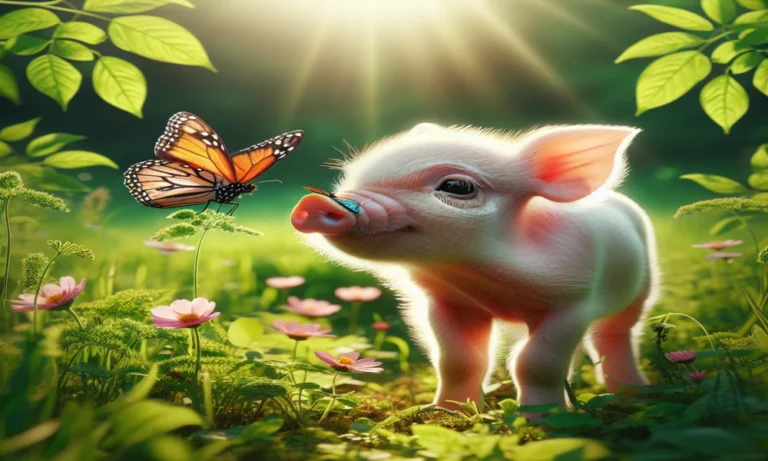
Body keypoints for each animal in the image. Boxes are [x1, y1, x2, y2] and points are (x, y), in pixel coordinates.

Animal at [290, 123, 659, 413]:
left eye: (457, 186)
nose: (313, 200)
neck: (487, 279)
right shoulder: (451, 303)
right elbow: (458, 361)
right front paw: (449, 413)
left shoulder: (574, 304)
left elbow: (535, 363)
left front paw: (540, 419)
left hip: (641, 289)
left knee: (614, 334)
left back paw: (633, 392)